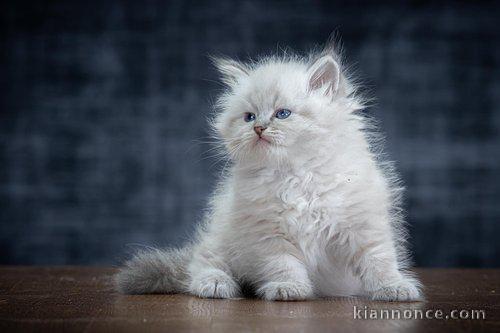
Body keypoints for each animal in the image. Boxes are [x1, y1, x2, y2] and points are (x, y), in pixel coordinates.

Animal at [116, 42, 422, 300]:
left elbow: (380, 260)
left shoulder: (363, 225)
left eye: (282, 114)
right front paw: (289, 289)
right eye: (249, 117)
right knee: (201, 264)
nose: (258, 128)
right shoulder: (268, 234)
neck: (297, 175)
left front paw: (394, 288)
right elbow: (284, 265)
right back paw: (215, 284)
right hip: (221, 237)